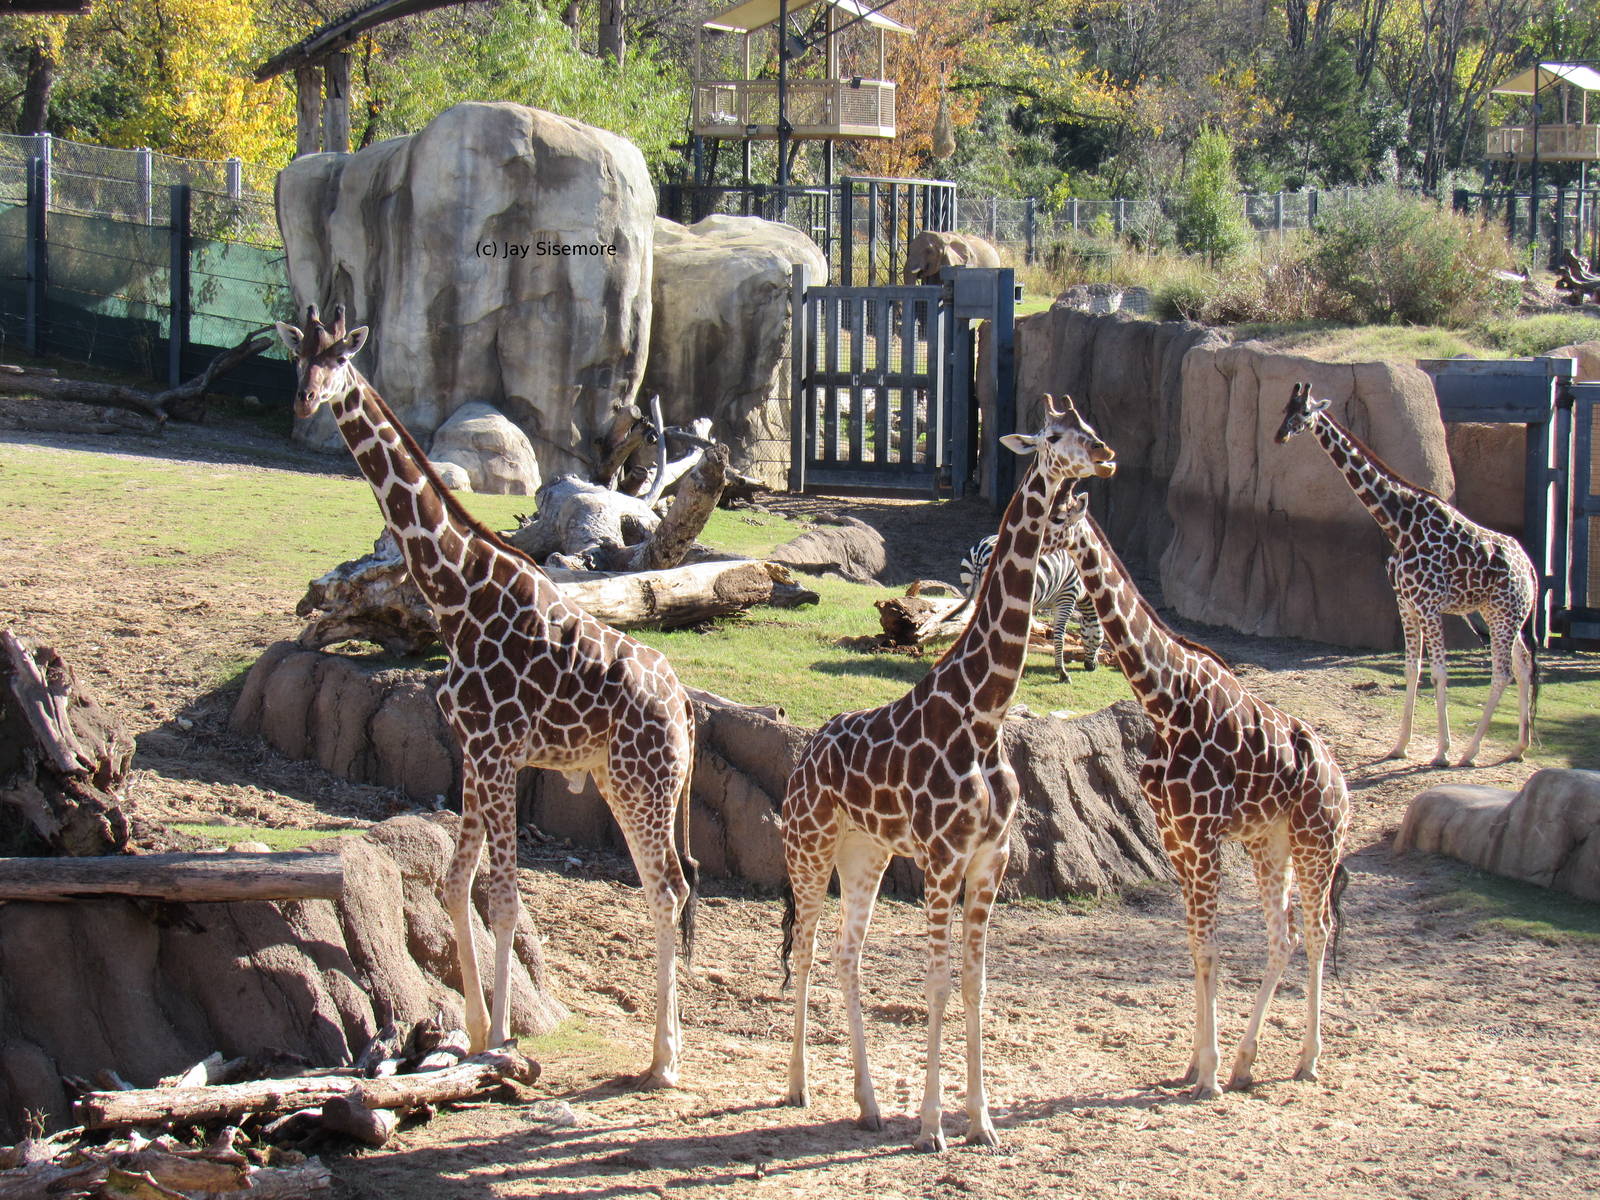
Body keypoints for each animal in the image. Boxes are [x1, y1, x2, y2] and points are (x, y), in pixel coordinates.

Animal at [274, 306, 698, 1085]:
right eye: (299, 357)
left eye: (340, 360)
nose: (306, 400)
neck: (455, 591)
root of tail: (684, 704)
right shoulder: (472, 751)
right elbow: (454, 882)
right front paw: (473, 1032)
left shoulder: (500, 754)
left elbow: (502, 896)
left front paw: (500, 1038)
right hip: (623, 782)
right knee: (669, 892)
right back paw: (664, 1049)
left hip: (642, 783)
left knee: (667, 890)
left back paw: (664, 1062)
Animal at [947, 533, 1103, 681]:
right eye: (1101, 640)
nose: (1091, 667)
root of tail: (982, 549)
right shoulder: (1067, 596)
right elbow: (1059, 635)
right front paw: (1062, 672)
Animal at [1050, 488, 1350, 1099]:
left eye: (1059, 520)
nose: (1022, 543)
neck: (1166, 703)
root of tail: (1343, 782)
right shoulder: (1177, 837)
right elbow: (1194, 944)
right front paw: (1196, 1065)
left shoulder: (1203, 836)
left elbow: (1209, 946)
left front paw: (1206, 1075)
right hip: (1270, 845)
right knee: (1283, 935)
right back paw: (1246, 1063)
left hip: (1317, 844)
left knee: (1317, 931)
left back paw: (1305, 1060)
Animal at [1275, 382, 1538, 767]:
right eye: (1285, 410)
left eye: (1304, 412)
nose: (1280, 435)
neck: (1399, 527)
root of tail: (1531, 569)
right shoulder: (1405, 604)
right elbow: (1412, 668)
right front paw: (1399, 746)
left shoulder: (1430, 606)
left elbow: (1439, 672)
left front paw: (1442, 751)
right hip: (1500, 614)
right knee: (1523, 664)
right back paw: (1519, 747)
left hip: (1504, 614)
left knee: (1501, 672)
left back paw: (1469, 752)